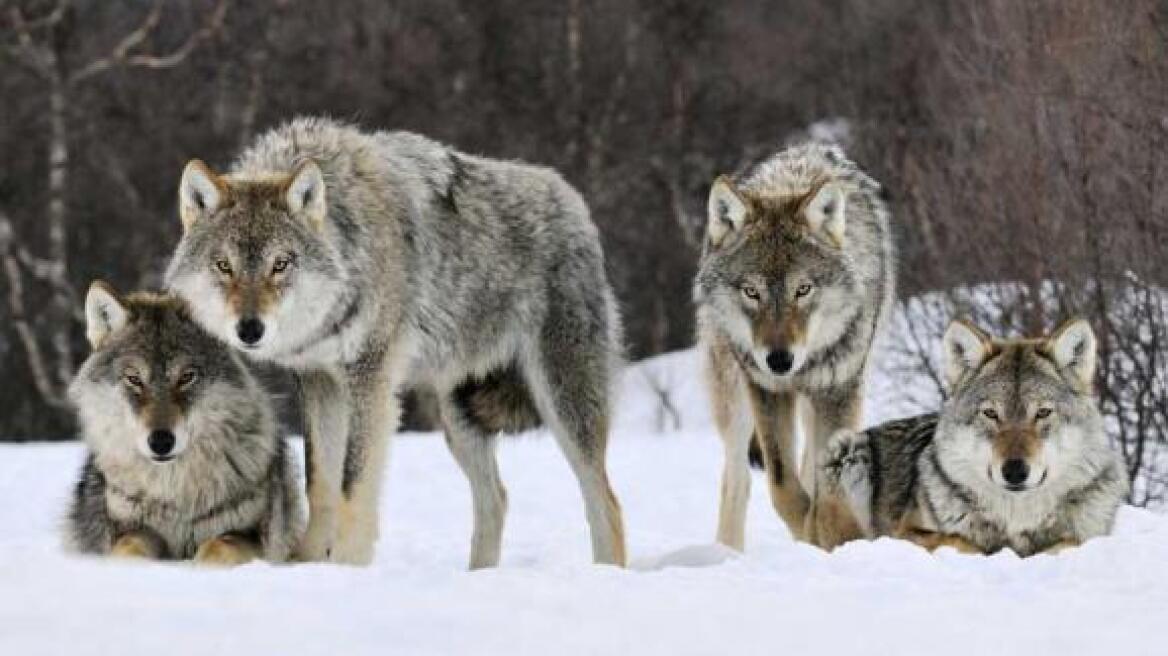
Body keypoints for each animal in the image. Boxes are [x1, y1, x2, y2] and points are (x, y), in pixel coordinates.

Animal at [64, 281, 303, 562]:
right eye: (134, 379)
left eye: (186, 377)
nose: (161, 441)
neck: (174, 493)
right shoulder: (130, 530)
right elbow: (128, 549)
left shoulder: (250, 536)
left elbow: (218, 547)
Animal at [165, 117, 630, 567]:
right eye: (224, 265)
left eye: (281, 264)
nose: (250, 329)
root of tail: (573, 202)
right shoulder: (319, 380)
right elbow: (320, 482)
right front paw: (308, 563)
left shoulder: (370, 378)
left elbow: (353, 485)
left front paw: (348, 566)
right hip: (458, 418)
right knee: (496, 499)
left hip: (562, 403)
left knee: (605, 501)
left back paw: (605, 573)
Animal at [691, 141, 892, 546]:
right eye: (751, 292)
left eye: (803, 289)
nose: (780, 360)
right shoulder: (767, 390)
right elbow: (783, 486)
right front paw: (809, 532)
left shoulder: (839, 391)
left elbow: (824, 488)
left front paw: (827, 534)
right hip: (734, 398)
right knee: (737, 480)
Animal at [808, 319, 1125, 553]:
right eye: (991, 414)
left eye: (1043, 413)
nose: (1014, 471)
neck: (1015, 519)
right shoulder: (905, 532)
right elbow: (962, 541)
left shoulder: (1087, 536)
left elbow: (1067, 542)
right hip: (846, 450)